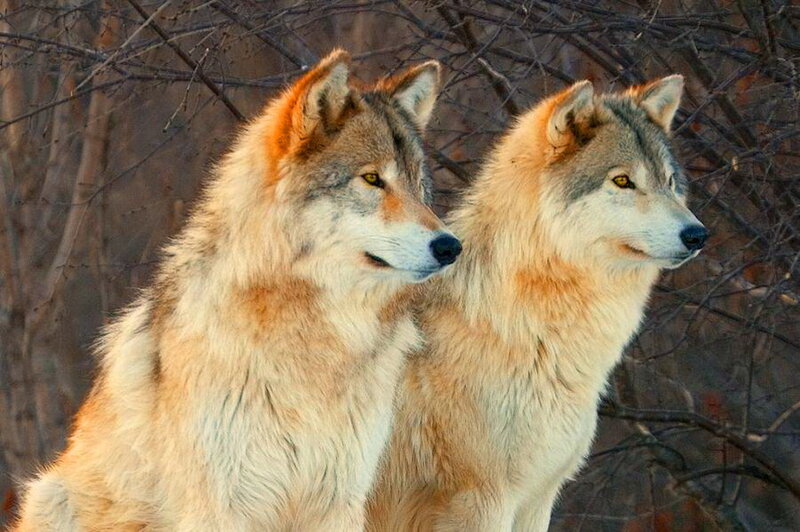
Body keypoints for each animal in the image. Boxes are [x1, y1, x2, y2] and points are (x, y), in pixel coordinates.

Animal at [14, 49, 462, 531]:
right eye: (372, 179)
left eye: (418, 186)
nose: (450, 246)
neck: (314, 344)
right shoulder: (219, 505)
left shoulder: (337, 501)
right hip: (52, 496)